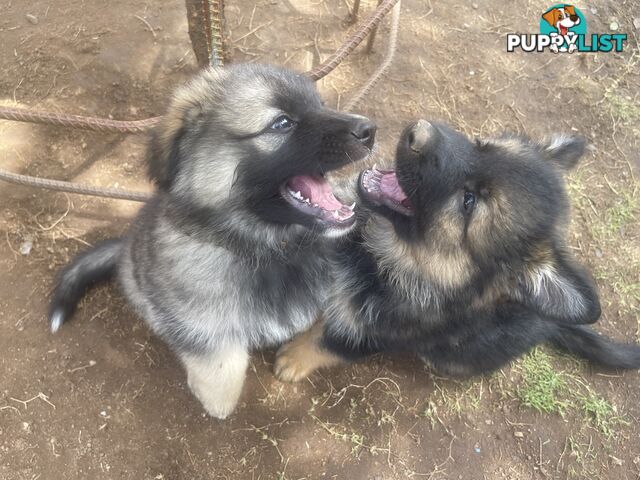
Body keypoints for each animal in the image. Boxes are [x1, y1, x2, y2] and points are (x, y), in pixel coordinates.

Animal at [53, 62, 380, 416]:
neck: (272, 248)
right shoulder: (201, 324)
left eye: (320, 105)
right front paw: (217, 403)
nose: (369, 130)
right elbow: (223, 367)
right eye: (282, 123)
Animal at [274, 118, 640, 380]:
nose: (418, 130)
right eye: (482, 146)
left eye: (469, 201)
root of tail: (550, 322)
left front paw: (294, 359)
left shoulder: (373, 335)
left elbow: (327, 342)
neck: (391, 257)